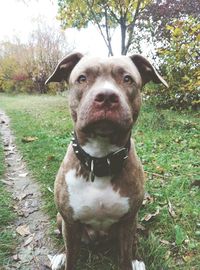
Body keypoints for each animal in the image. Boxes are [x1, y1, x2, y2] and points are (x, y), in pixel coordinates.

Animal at [45, 51, 167, 268]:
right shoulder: (70, 222)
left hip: (132, 222)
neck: (100, 160)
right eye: (82, 78)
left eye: (127, 79)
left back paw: (137, 258)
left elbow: (125, 257)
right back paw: (60, 254)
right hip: (61, 219)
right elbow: (71, 258)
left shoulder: (128, 221)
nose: (107, 96)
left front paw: (131, 260)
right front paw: (66, 257)